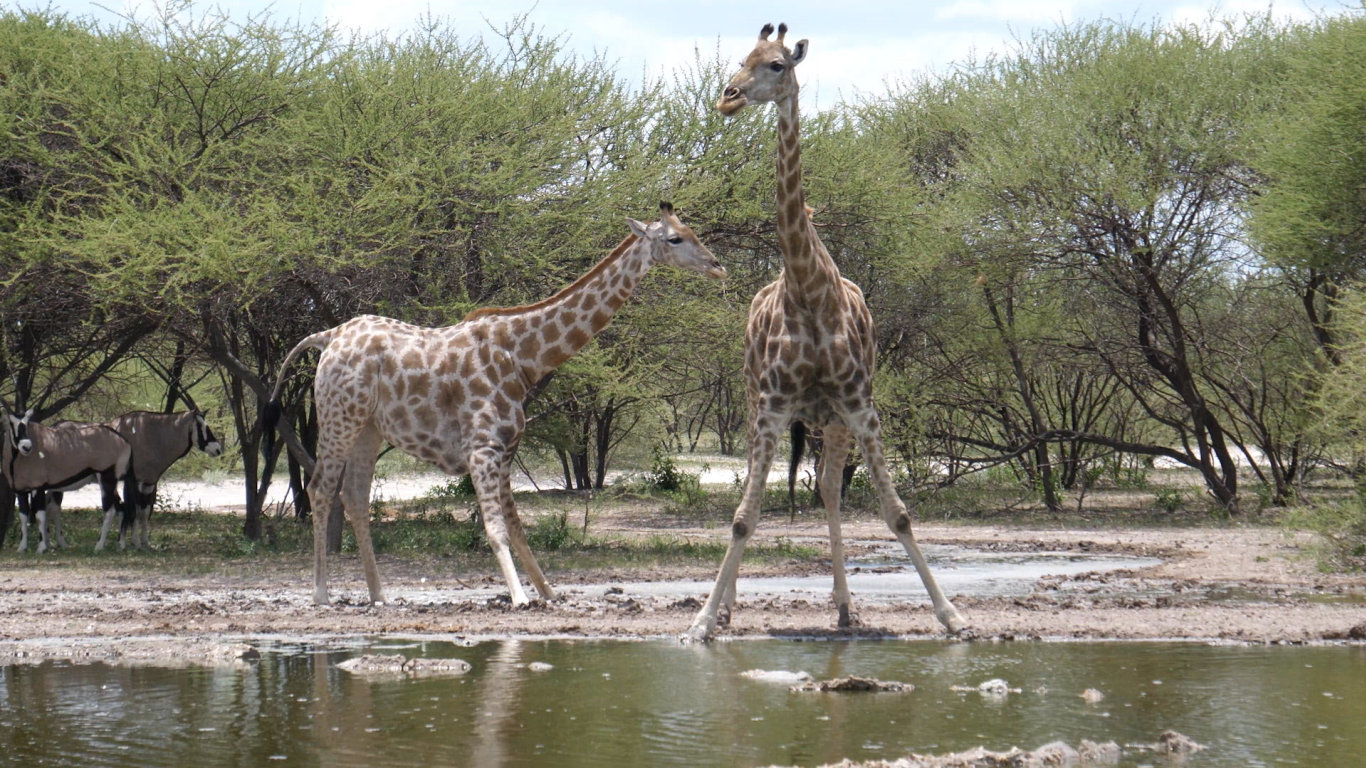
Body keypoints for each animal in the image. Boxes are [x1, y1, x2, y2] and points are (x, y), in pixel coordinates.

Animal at [259, 202, 721, 604]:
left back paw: (380, 596)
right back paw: (321, 594)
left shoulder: (507, 448)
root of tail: (328, 337)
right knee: (320, 489)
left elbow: (516, 526)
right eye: (676, 238)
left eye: (692, 230)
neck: (523, 357)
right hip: (339, 417)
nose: (717, 265)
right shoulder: (483, 448)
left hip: (369, 428)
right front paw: (519, 597)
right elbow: (496, 527)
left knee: (354, 496)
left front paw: (548, 592)